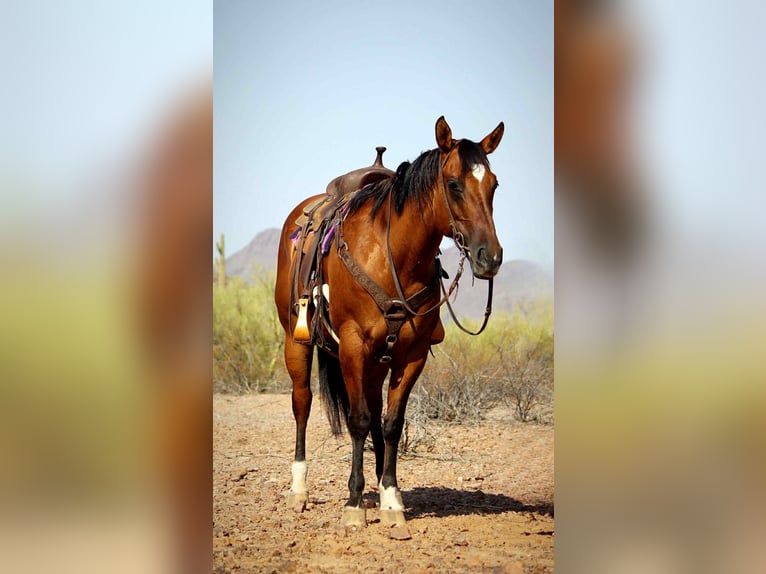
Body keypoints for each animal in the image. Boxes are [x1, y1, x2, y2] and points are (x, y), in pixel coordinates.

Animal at [274, 116, 504, 530]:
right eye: (453, 184)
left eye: (494, 185)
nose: (489, 257)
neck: (393, 254)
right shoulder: (352, 346)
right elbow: (358, 419)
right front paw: (353, 504)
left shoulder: (411, 355)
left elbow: (391, 422)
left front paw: (391, 498)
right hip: (295, 340)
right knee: (302, 402)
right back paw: (299, 489)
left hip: (378, 362)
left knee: (375, 413)